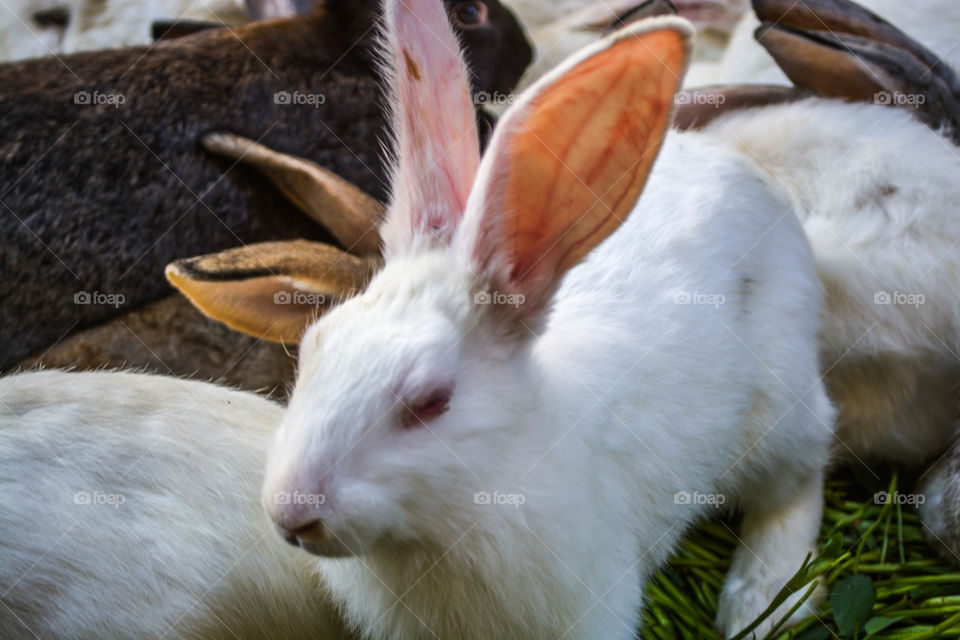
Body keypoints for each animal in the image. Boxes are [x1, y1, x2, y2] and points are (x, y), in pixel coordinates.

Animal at [261, 1, 835, 638]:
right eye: (313, 346)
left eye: (433, 401)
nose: (290, 514)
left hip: (775, 413)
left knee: (801, 479)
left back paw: (758, 602)